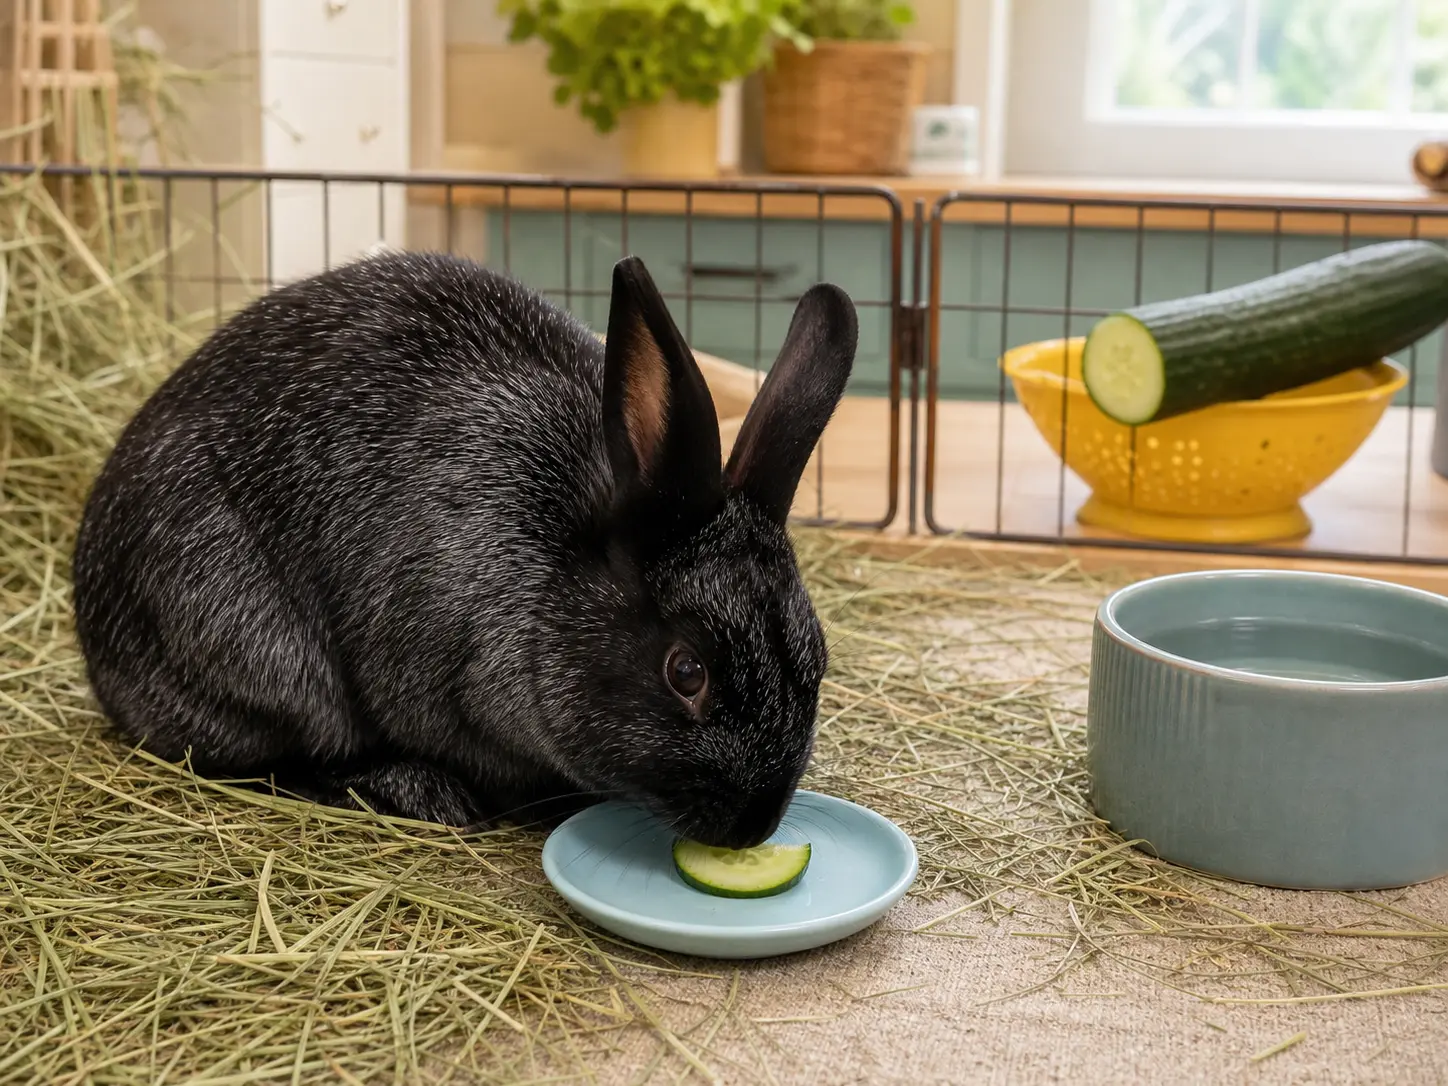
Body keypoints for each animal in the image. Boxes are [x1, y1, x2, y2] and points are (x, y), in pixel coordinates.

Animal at [70, 249, 858, 850]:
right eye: (686, 672)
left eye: (817, 656)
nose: (754, 829)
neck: (550, 576)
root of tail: (94, 636)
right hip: (252, 646)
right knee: (277, 755)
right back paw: (415, 791)